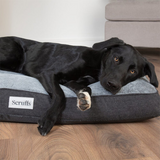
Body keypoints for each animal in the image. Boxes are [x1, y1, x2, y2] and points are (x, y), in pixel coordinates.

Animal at [0, 37, 158, 136]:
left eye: (133, 71)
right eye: (116, 59)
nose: (113, 85)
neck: (95, 66)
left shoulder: (71, 82)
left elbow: (87, 88)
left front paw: (84, 98)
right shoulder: (48, 73)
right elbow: (60, 95)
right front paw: (48, 120)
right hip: (13, 53)